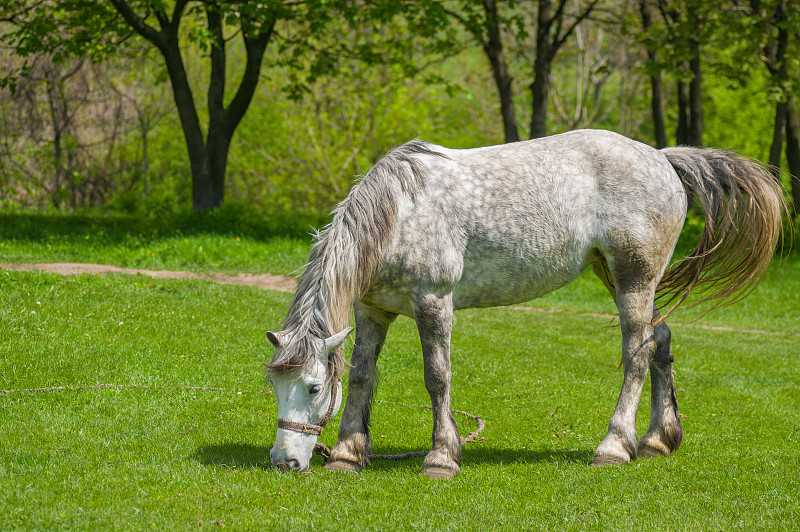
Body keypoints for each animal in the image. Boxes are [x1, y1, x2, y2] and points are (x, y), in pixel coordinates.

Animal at [266, 129, 784, 478]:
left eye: (313, 387)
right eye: (275, 386)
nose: (285, 461)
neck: (399, 214)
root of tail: (662, 157)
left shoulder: (434, 304)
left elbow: (436, 377)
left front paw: (441, 457)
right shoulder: (374, 311)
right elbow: (361, 376)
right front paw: (349, 454)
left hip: (634, 280)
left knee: (636, 355)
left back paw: (614, 446)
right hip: (621, 277)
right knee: (660, 340)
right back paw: (658, 439)